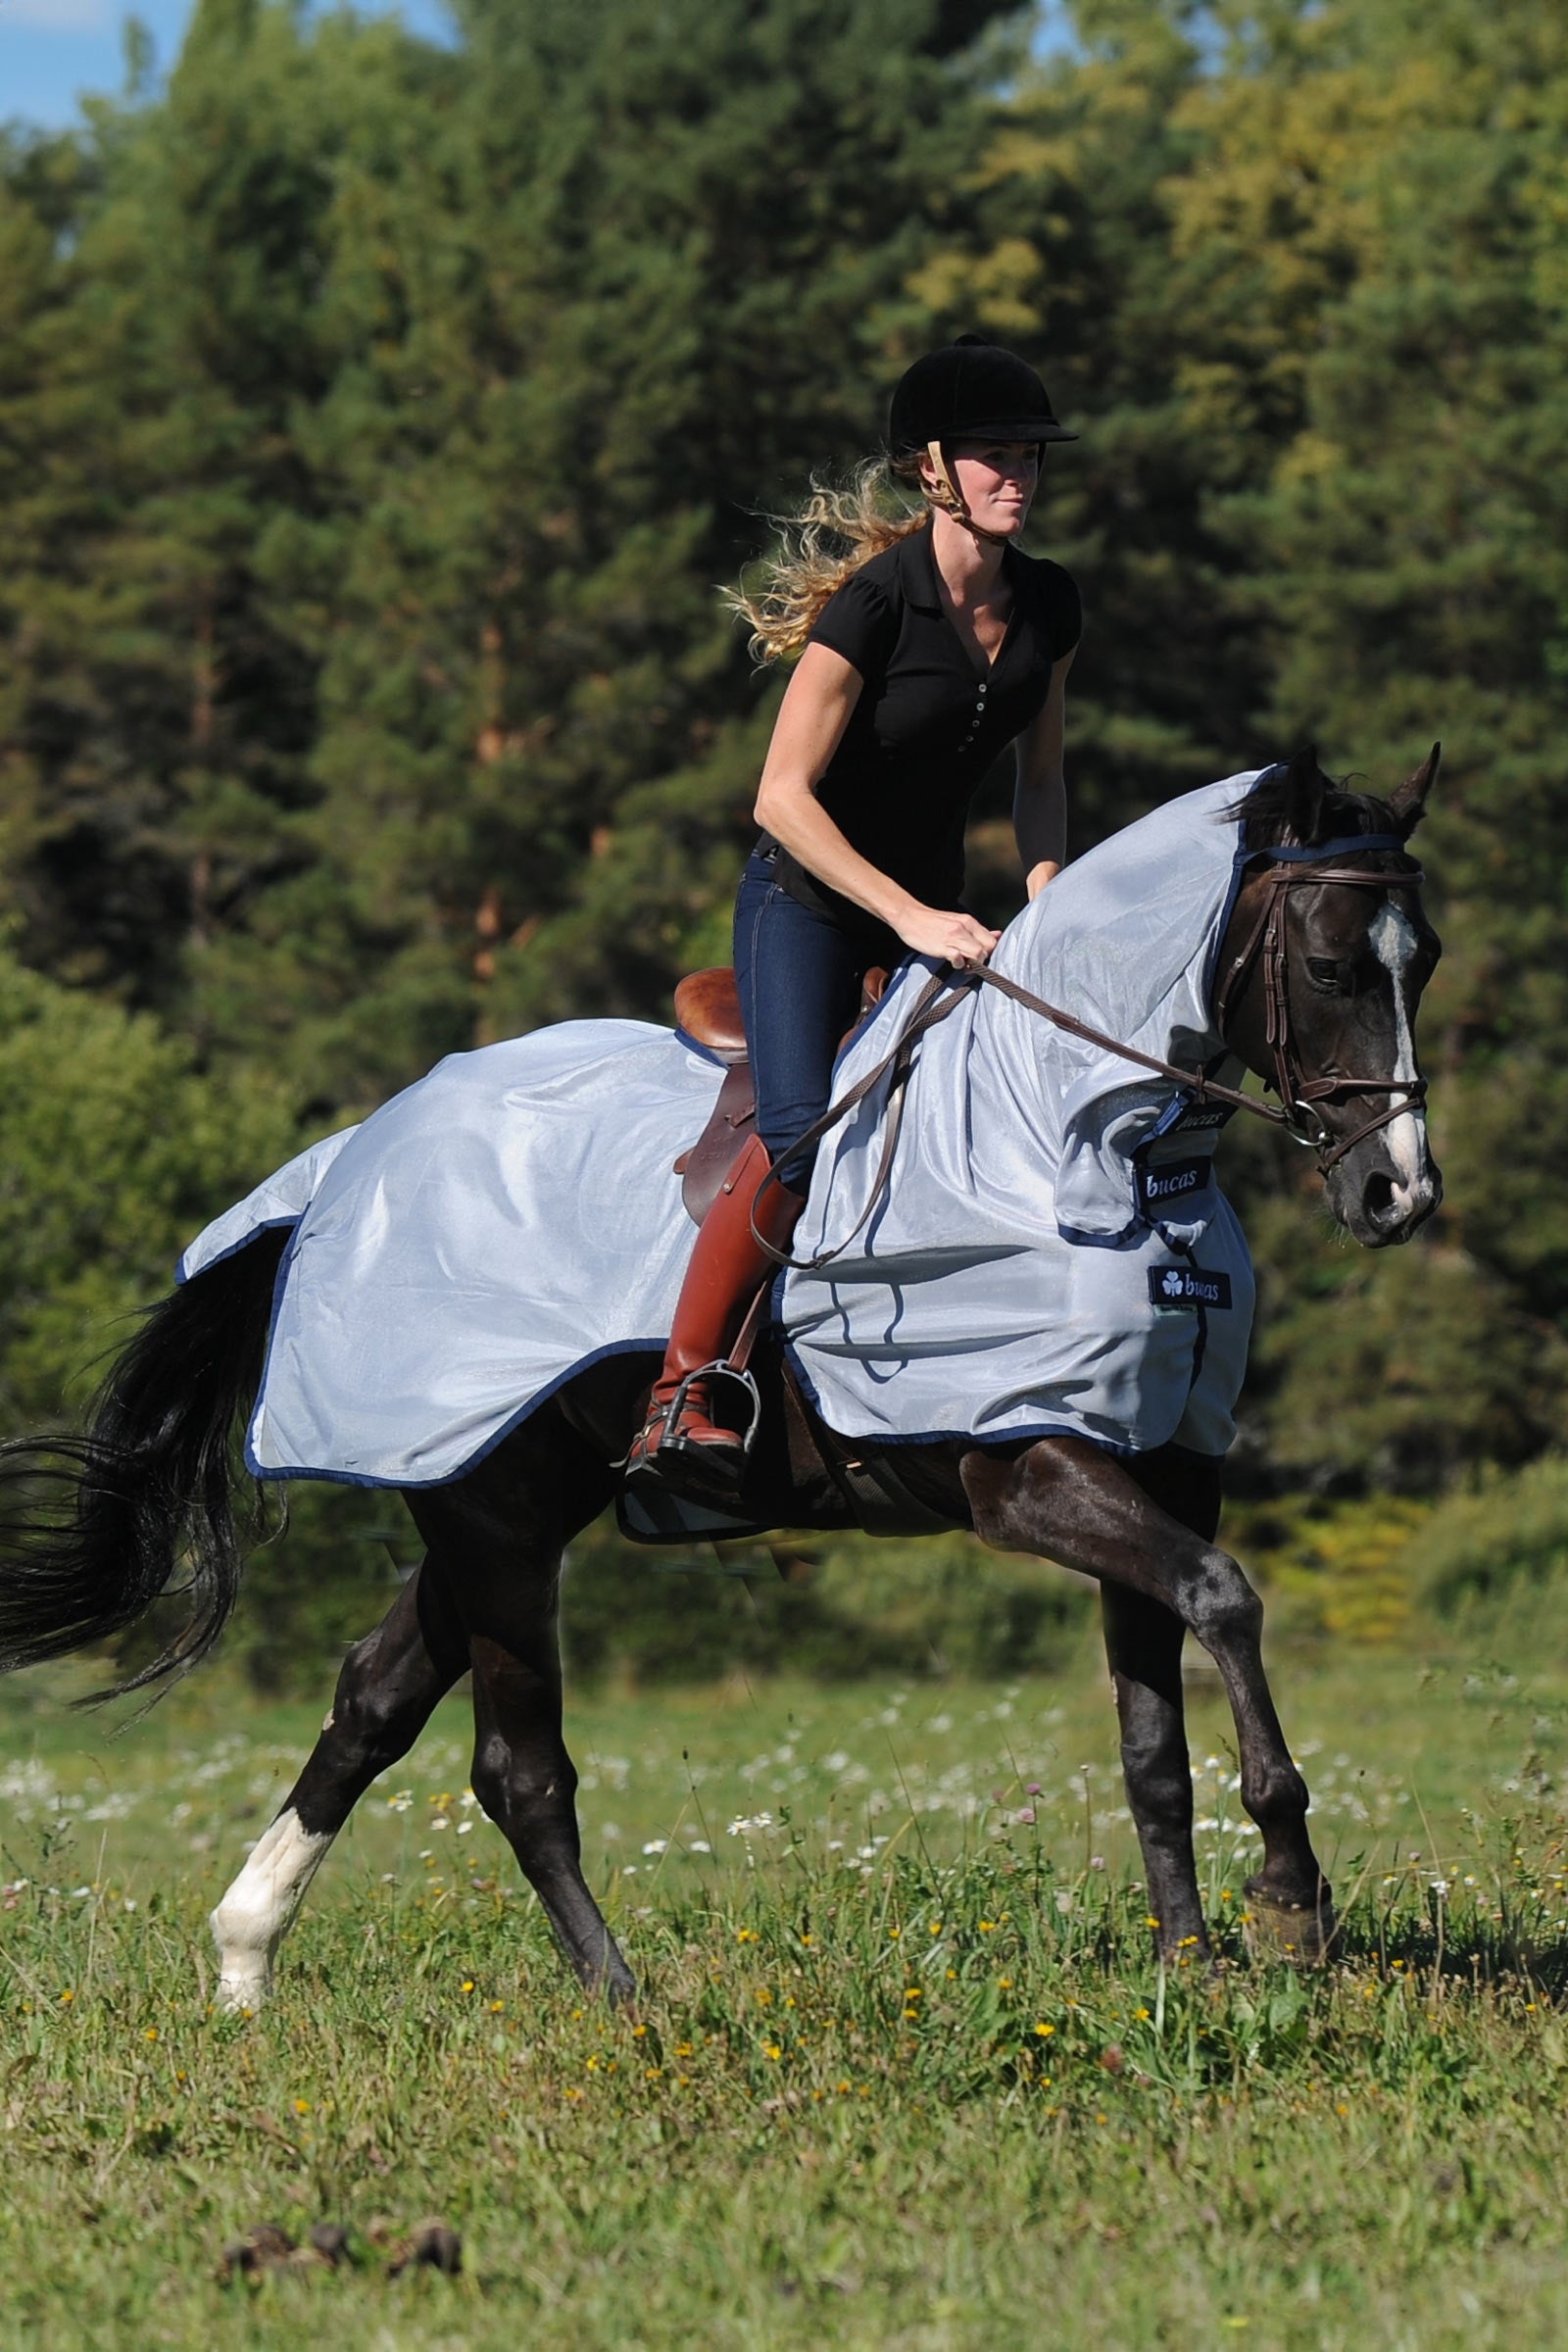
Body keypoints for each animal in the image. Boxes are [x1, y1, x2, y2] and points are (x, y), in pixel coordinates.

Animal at [0, 744, 1443, 2009]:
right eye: (1327, 965)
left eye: (1420, 960)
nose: (1399, 1195)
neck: (1077, 1143)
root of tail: (351, 1158)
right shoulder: (1022, 1470)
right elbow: (1227, 1600)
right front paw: (1291, 1895)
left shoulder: (1161, 1462)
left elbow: (1157, 1737)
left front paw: (1192, 1962)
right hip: (493, 1516)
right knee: (517, 1771)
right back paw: (623, 2000)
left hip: (506, 1498)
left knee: (373, 1692)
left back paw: (245, 1962)